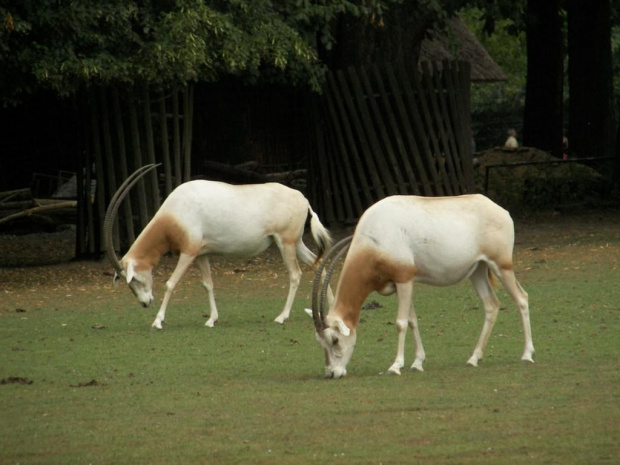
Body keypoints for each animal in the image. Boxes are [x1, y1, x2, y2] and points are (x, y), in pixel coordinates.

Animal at [105, 165, 334, 328]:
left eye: (133, 279)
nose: (145, 303)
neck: (175, 214)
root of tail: (303, 199)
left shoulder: (188, 252)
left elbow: (171, 283)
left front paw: (157, 321)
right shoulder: (200, 254)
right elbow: (208, 284)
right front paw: (211, 319)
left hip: (285, 243)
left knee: (295, 274)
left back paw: (282, 317)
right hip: (295, 243)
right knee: (318, 263)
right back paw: (329, 310)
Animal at [310, 192, 532, 376]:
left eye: (335, 340)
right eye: (320, 342)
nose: (331, 373)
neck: (376, 235)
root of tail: (501, 211)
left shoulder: (404, 278)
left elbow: (400, 323)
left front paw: (395, 366)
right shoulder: (399, 283)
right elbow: (412, 321)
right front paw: (417, 363)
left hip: (502, 265)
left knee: (521, 298)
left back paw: (527, 355)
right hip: (477, 270)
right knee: (491, 305)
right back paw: (473, 358)